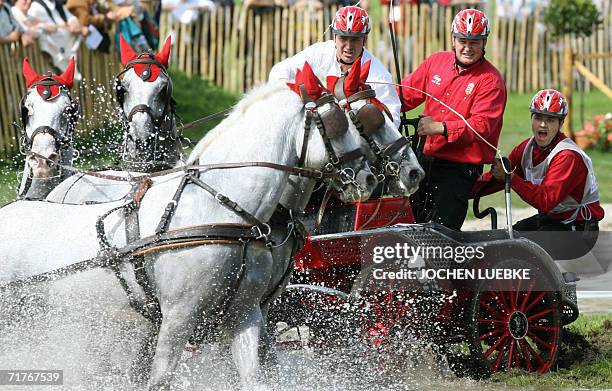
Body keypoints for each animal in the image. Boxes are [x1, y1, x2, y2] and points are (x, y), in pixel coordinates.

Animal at [0, 75, 376, 390]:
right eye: (335, 122)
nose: (369, 177)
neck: (218, 210)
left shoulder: (244, 313)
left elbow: (255, 377)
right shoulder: (178, 317)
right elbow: (160, 380)